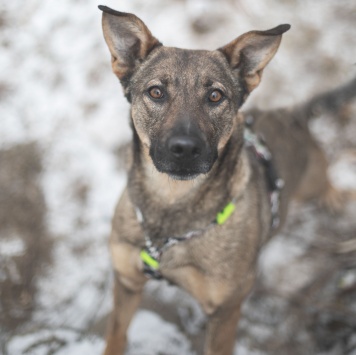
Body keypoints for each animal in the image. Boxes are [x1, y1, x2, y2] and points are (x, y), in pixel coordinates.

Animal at [97, 5, 356, 355]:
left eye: (215, 96)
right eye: (156, 92)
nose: (185, 149)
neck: (171, 208)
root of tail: (291, 115)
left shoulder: (225, 310)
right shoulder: (126, 282)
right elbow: (116, 335)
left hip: (311, 179)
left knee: (323, 179)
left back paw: (332, 194)